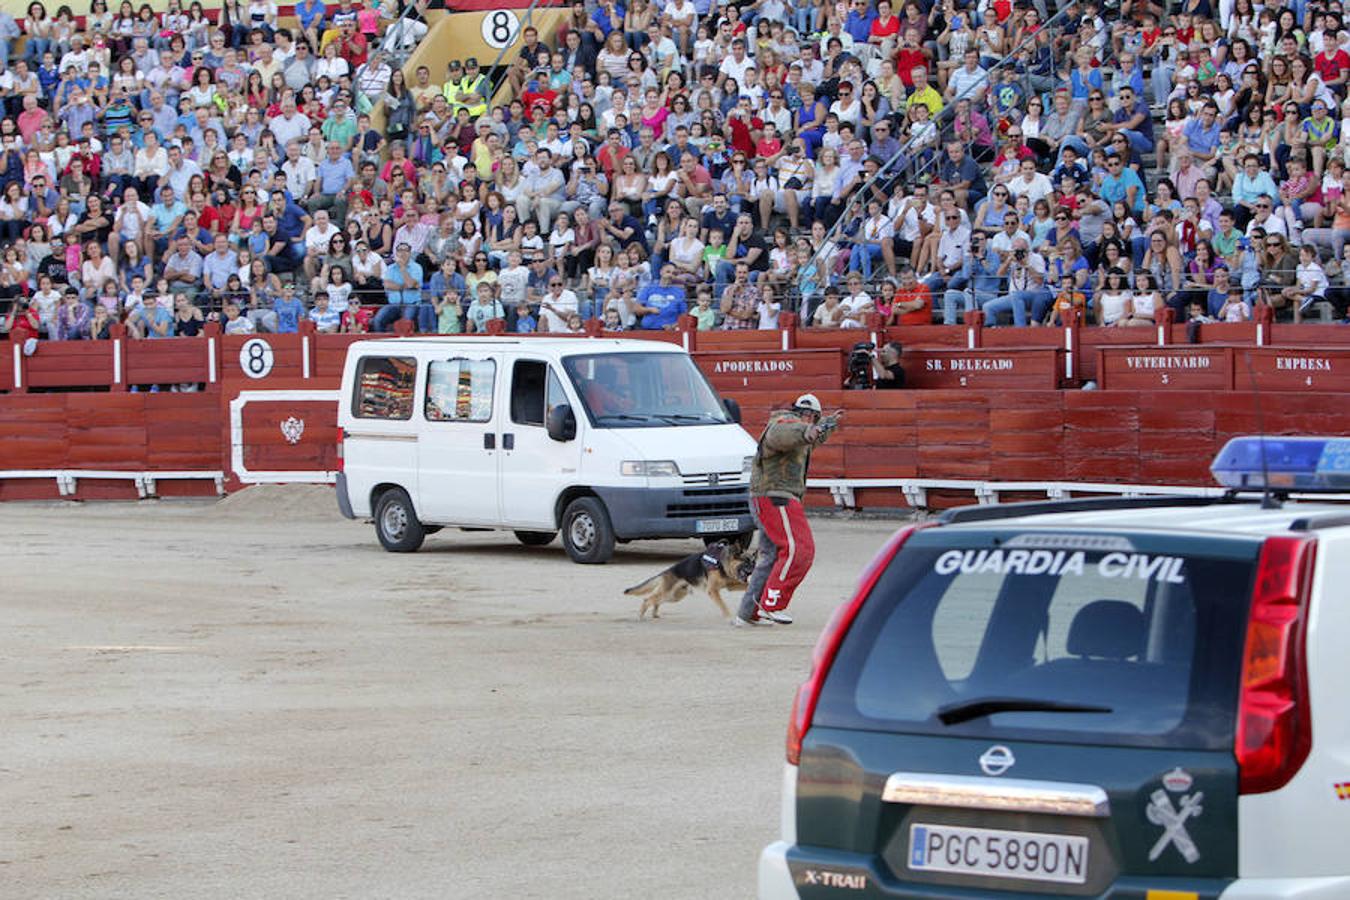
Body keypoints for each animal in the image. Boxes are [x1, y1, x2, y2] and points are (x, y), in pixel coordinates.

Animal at [623, 542, 761, 620]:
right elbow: (722, 605)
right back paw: (641, 615)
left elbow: (746, 585)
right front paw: (728, 616)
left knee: (656, 601)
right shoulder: (712, 590)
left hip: (673, 596)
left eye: (754, 563)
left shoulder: (731, 585)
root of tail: (668, 570)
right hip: (668, 593)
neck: (721, 563)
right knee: (647, 599)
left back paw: (654, 614)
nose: (754, 570)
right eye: (746, 562)